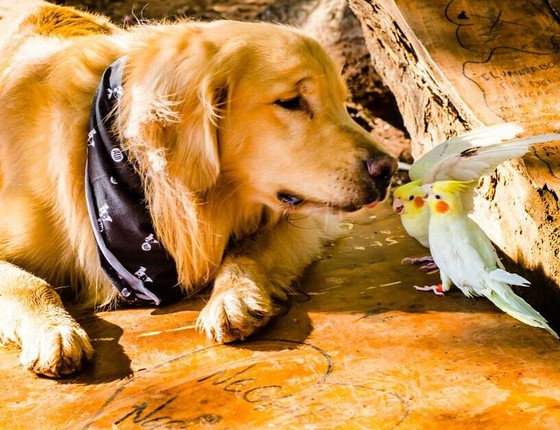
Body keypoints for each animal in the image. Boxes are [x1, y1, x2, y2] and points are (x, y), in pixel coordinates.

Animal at [0, 0, 398, 376]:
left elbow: (248, 248)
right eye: (291, 102)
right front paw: (54, 331)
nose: (388, 169)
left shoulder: (305, 219)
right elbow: (28, 283)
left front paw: (235, 298)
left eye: (342, 103)